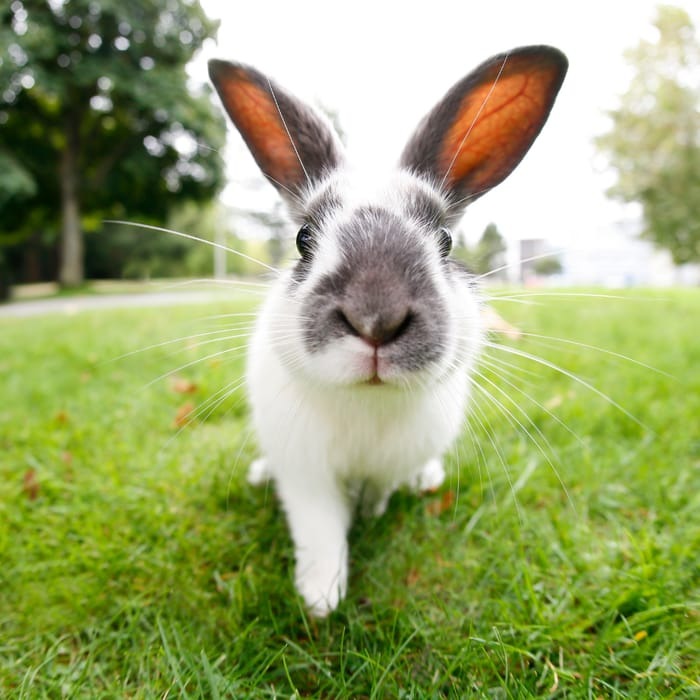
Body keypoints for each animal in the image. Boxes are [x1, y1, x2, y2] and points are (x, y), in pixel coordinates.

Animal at [208, 45, 568, 616]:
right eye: (303, 238)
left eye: (445, 241)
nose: (375, 318)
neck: (366, 402)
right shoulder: (306, 475)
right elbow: (321, 531)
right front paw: (320, 598)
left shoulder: (388, 465)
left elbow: (376, 494)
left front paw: (369, 518)